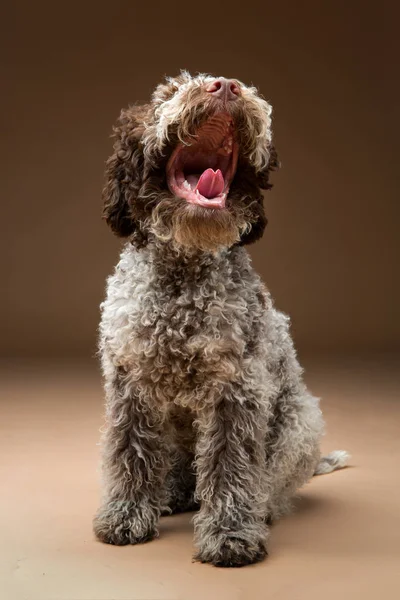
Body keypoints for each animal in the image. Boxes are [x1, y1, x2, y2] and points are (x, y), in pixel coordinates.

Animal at [93, 71, 346, 568]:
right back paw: (172, 492)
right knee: (176, 468)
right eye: (169, 92)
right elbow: (130, 450)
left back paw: (260, 508)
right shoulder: (129, 381)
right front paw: (127, 513)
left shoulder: (237, 388)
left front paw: (230, 533)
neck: (183, 274)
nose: (225, 85)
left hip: (301, 424)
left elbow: (232, 464)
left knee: (270, 483)